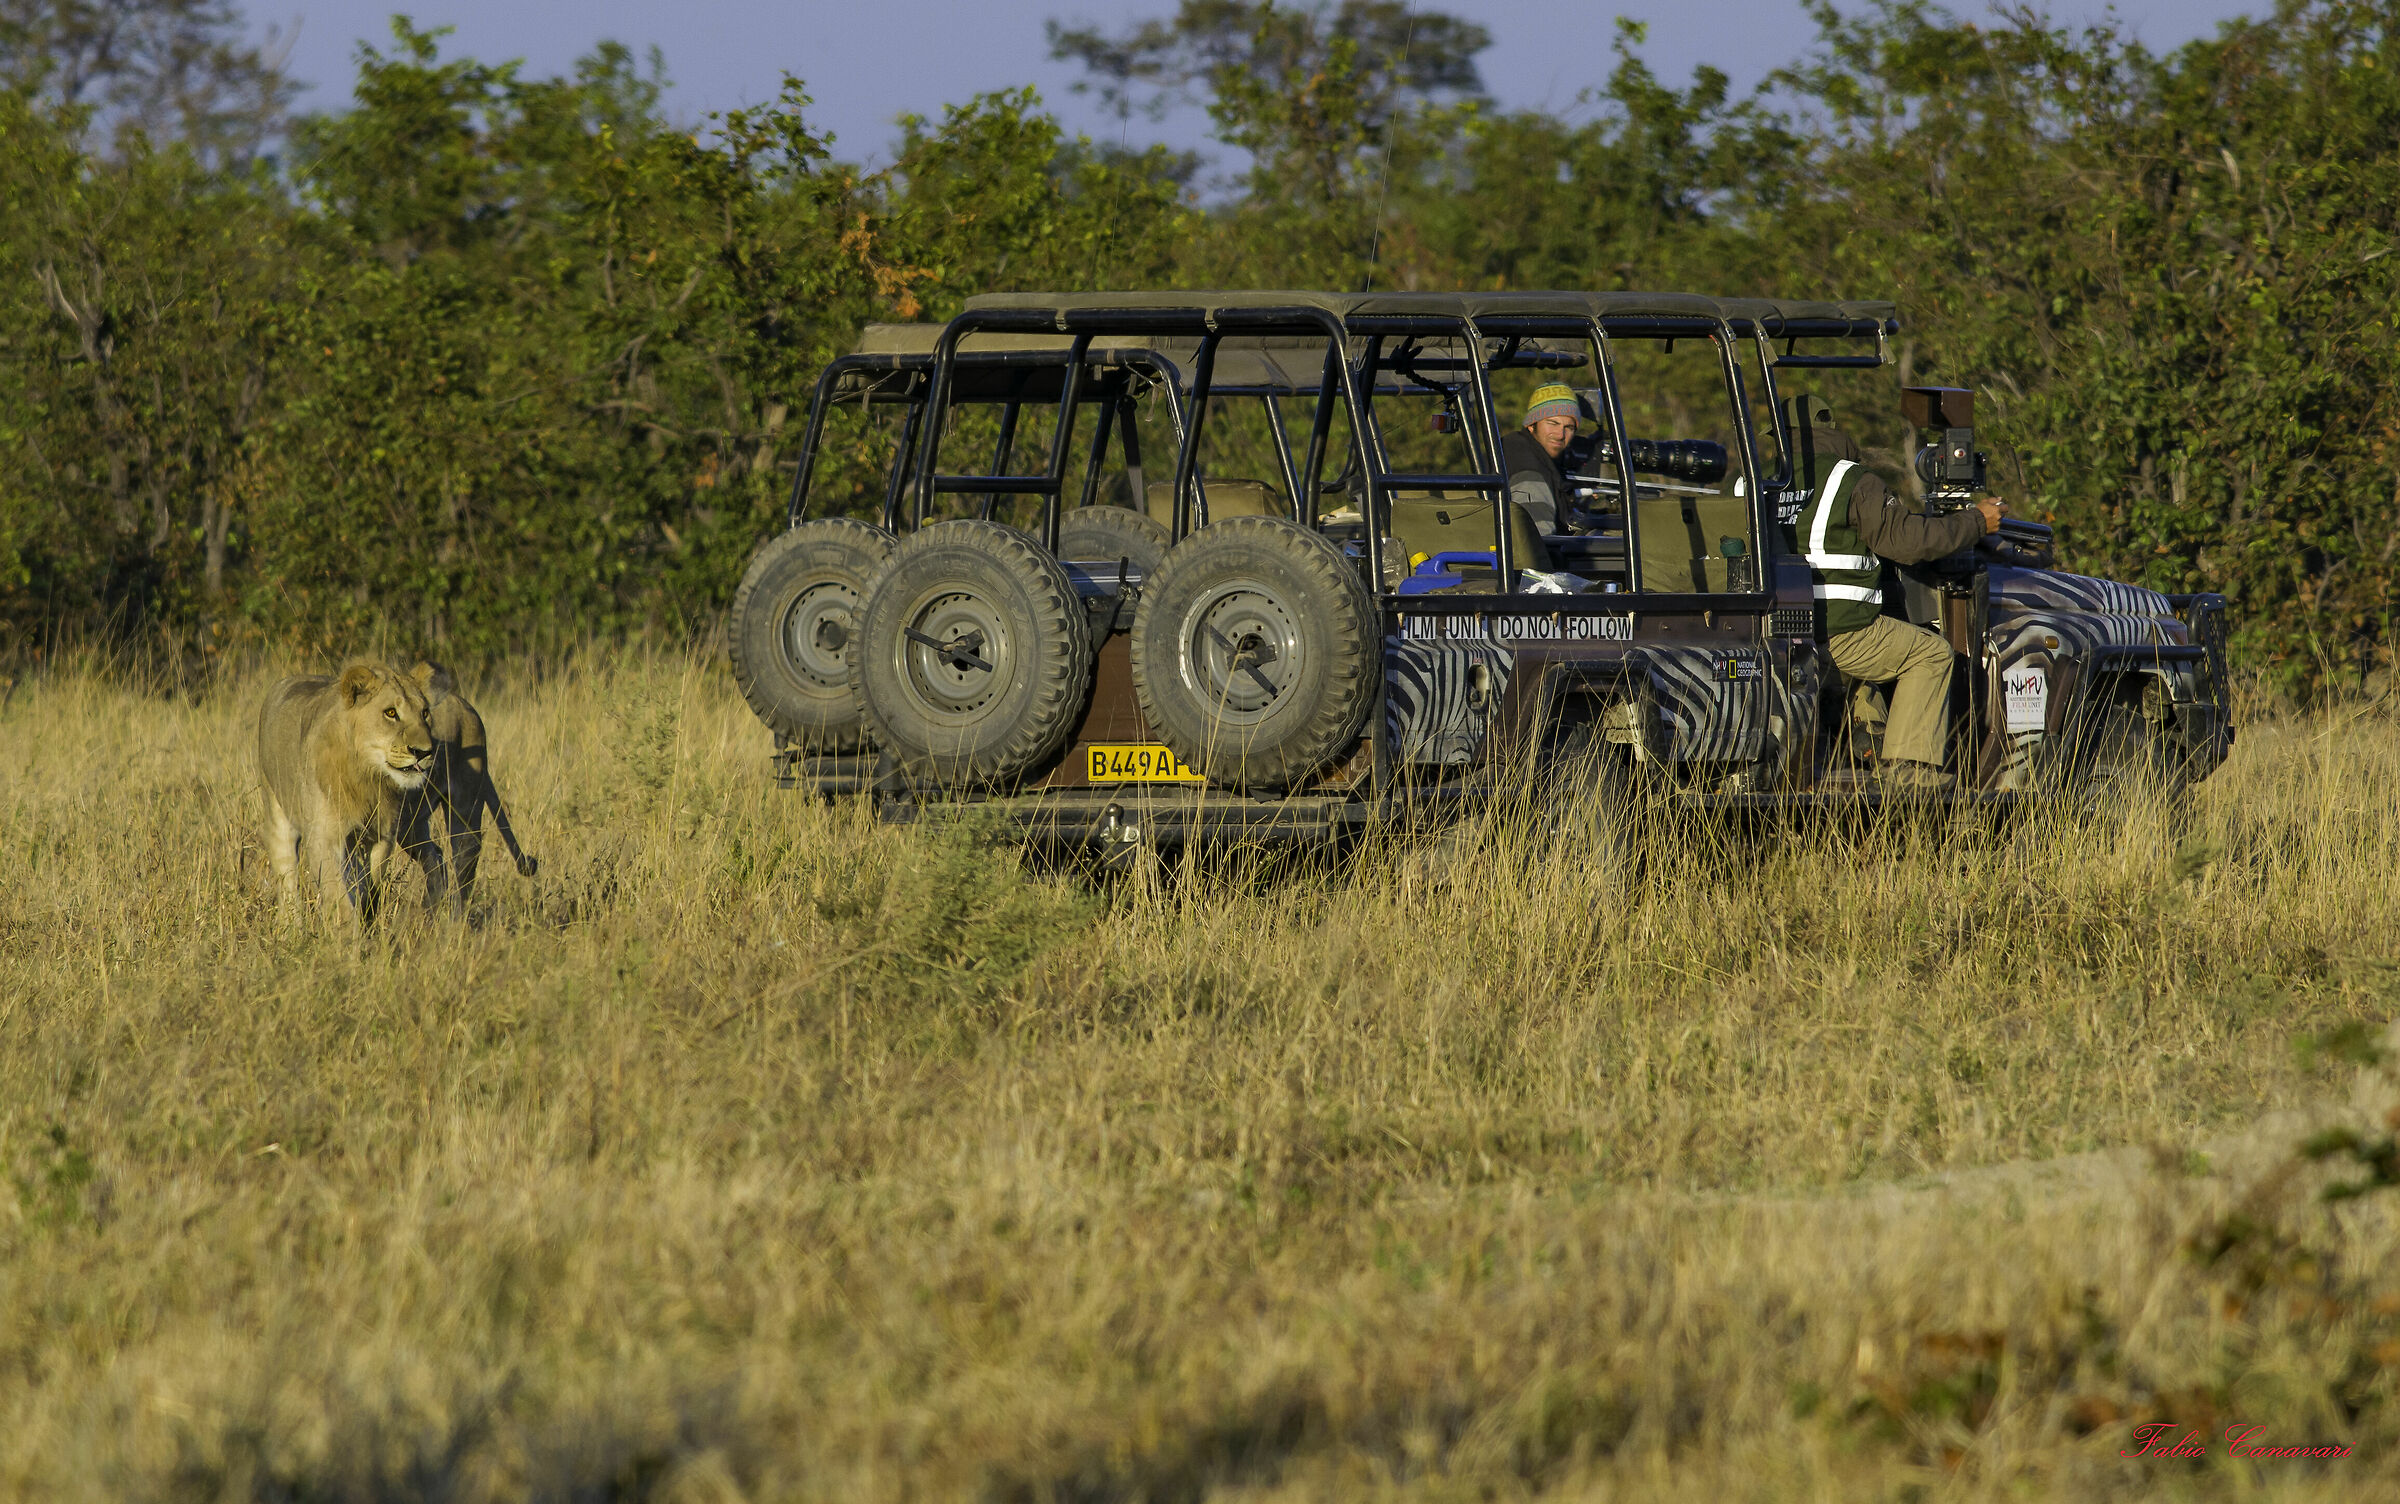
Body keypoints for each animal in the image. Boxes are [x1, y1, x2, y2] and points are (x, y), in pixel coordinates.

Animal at [256, 660, 438, 929]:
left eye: (424, 713)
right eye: (391, 713)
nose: (424, 752)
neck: (367, 777)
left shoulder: (382, 837)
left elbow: (369, 887)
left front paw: (365, 919)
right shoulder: (324, 836)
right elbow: (338, 897)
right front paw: (346, 934)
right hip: (277, 812)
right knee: (287, 879)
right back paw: (292, 928)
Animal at [399, 661, 539, 918]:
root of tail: (461, 701)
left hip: (461, 798)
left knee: (465, 849)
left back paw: (454, 917)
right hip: (411, 818)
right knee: (435, 856)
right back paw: (430, 912)